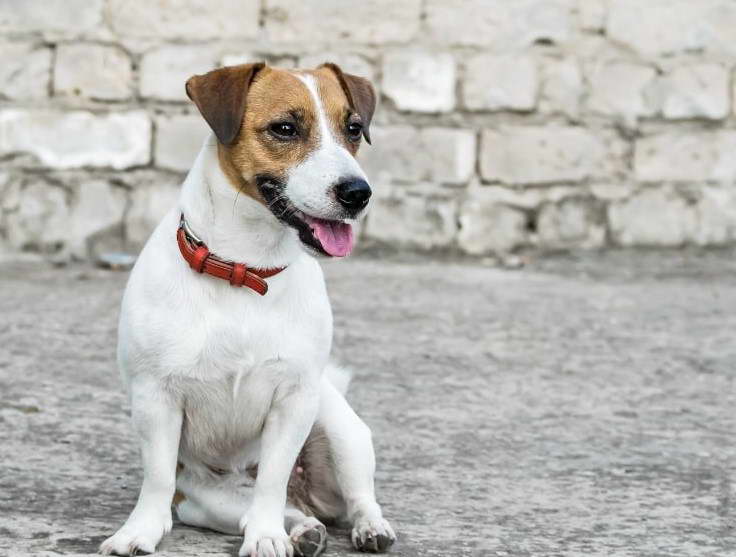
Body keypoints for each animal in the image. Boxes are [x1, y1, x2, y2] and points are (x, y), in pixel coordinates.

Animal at [102, 62, 396, 556]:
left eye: (353, 129)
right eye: (285, 128)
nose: (358, 193)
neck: (246, 268)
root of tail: (308, 496)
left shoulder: (294, 400)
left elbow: (272, 482)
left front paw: (265, 536)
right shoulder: (155, 397)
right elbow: (158, 478)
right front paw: (139, 531)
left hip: (339, 428)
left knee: (353, 496)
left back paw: (366, 527)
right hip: (206, 499)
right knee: (275, 509)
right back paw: (301, 530)